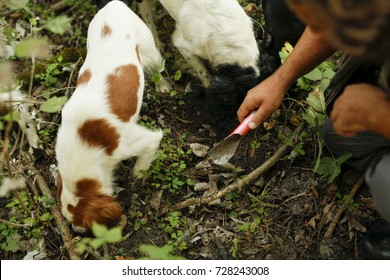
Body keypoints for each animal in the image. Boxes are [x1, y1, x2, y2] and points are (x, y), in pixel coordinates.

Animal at [55, 0, 164, 232]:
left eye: (83, 223)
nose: (76, 232)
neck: (85, 144)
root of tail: (113, 4)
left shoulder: (139, 142)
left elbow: (141, 167)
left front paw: (136, 180)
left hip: (149, 50)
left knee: (159, 68)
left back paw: (164, 86)